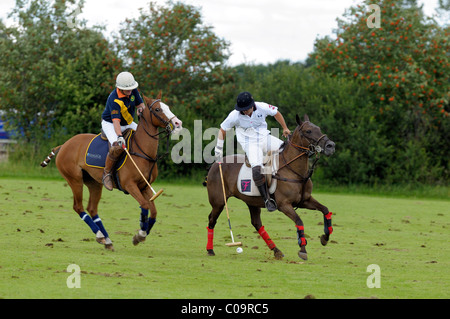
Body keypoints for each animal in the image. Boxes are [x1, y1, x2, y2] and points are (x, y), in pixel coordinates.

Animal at [38, 93, 179, 252]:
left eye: (167, 107)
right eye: (157, 109)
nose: (177, 123)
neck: (143, 151)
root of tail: (63, 145)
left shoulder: (144, 186)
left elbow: (153, 212)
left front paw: (140, 234)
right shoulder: (129, 185)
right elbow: (144, 205)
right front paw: (140, 235)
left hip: (94, 183)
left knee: (92, 208)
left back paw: (106, 240)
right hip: (74, 179)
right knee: (78, 207)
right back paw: (100, 235)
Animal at [206, 116, 336, 262]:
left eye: (318, 128)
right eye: (308, 131)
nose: (331, 146)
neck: (295, 172)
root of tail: (215, 165)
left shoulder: (305, 200)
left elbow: (325, 210)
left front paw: (325, 237)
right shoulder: (284, 205)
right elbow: (299, 221)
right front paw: (302, 249)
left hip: (251, 201)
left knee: (257, 224)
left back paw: (276, 251)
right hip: (219, 201)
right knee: (212, 219)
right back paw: (210, 250)